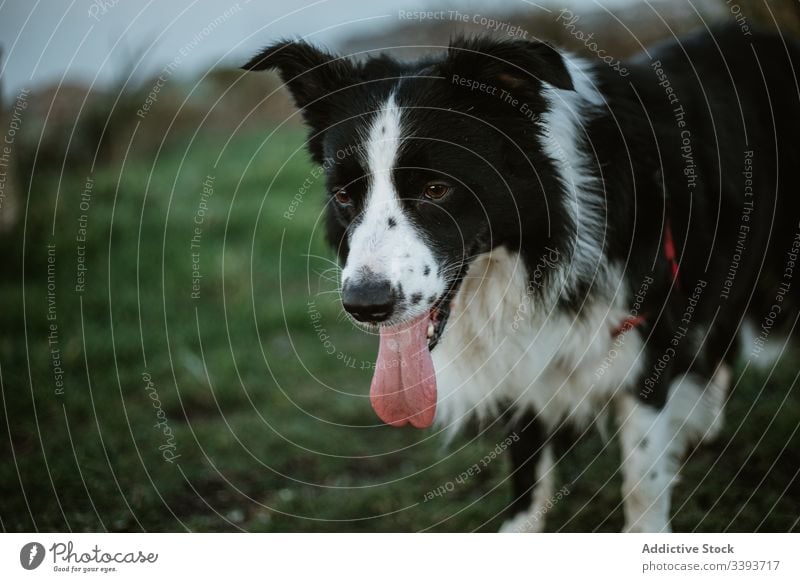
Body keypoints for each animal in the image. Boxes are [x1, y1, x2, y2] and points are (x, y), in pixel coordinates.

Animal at [242, 22, 800, 532]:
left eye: (437, 188)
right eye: (344, 196)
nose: (365, 305)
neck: (529, 252)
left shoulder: (645, 331)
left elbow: (642, 479)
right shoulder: (522, 355)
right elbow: (527, 459)